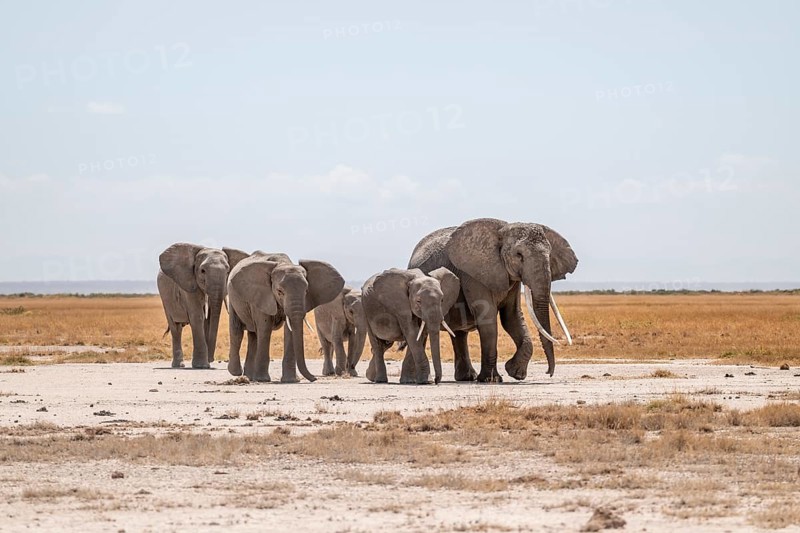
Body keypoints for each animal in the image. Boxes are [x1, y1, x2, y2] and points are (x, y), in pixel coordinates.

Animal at [226, 252, 345, 383]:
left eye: (306, 291)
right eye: (279, 291)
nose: (314, 379)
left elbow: (290, 330)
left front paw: (291, 380)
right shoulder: (261, 297)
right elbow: (265, 328)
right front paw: (263, 380)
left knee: (253, 336)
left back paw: (249, 376)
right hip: (233, 298)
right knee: (237, 331)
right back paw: (236, 372)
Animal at [407, 218, 578, 383]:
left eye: (550, 255)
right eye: (519, 255)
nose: (549, 372)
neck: (503, 231)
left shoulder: (511, 279)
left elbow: (512, 317)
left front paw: (516, 373)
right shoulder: (473, 275)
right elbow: (488, 319)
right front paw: (492, 379)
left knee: (459, 334)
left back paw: (467, 377)